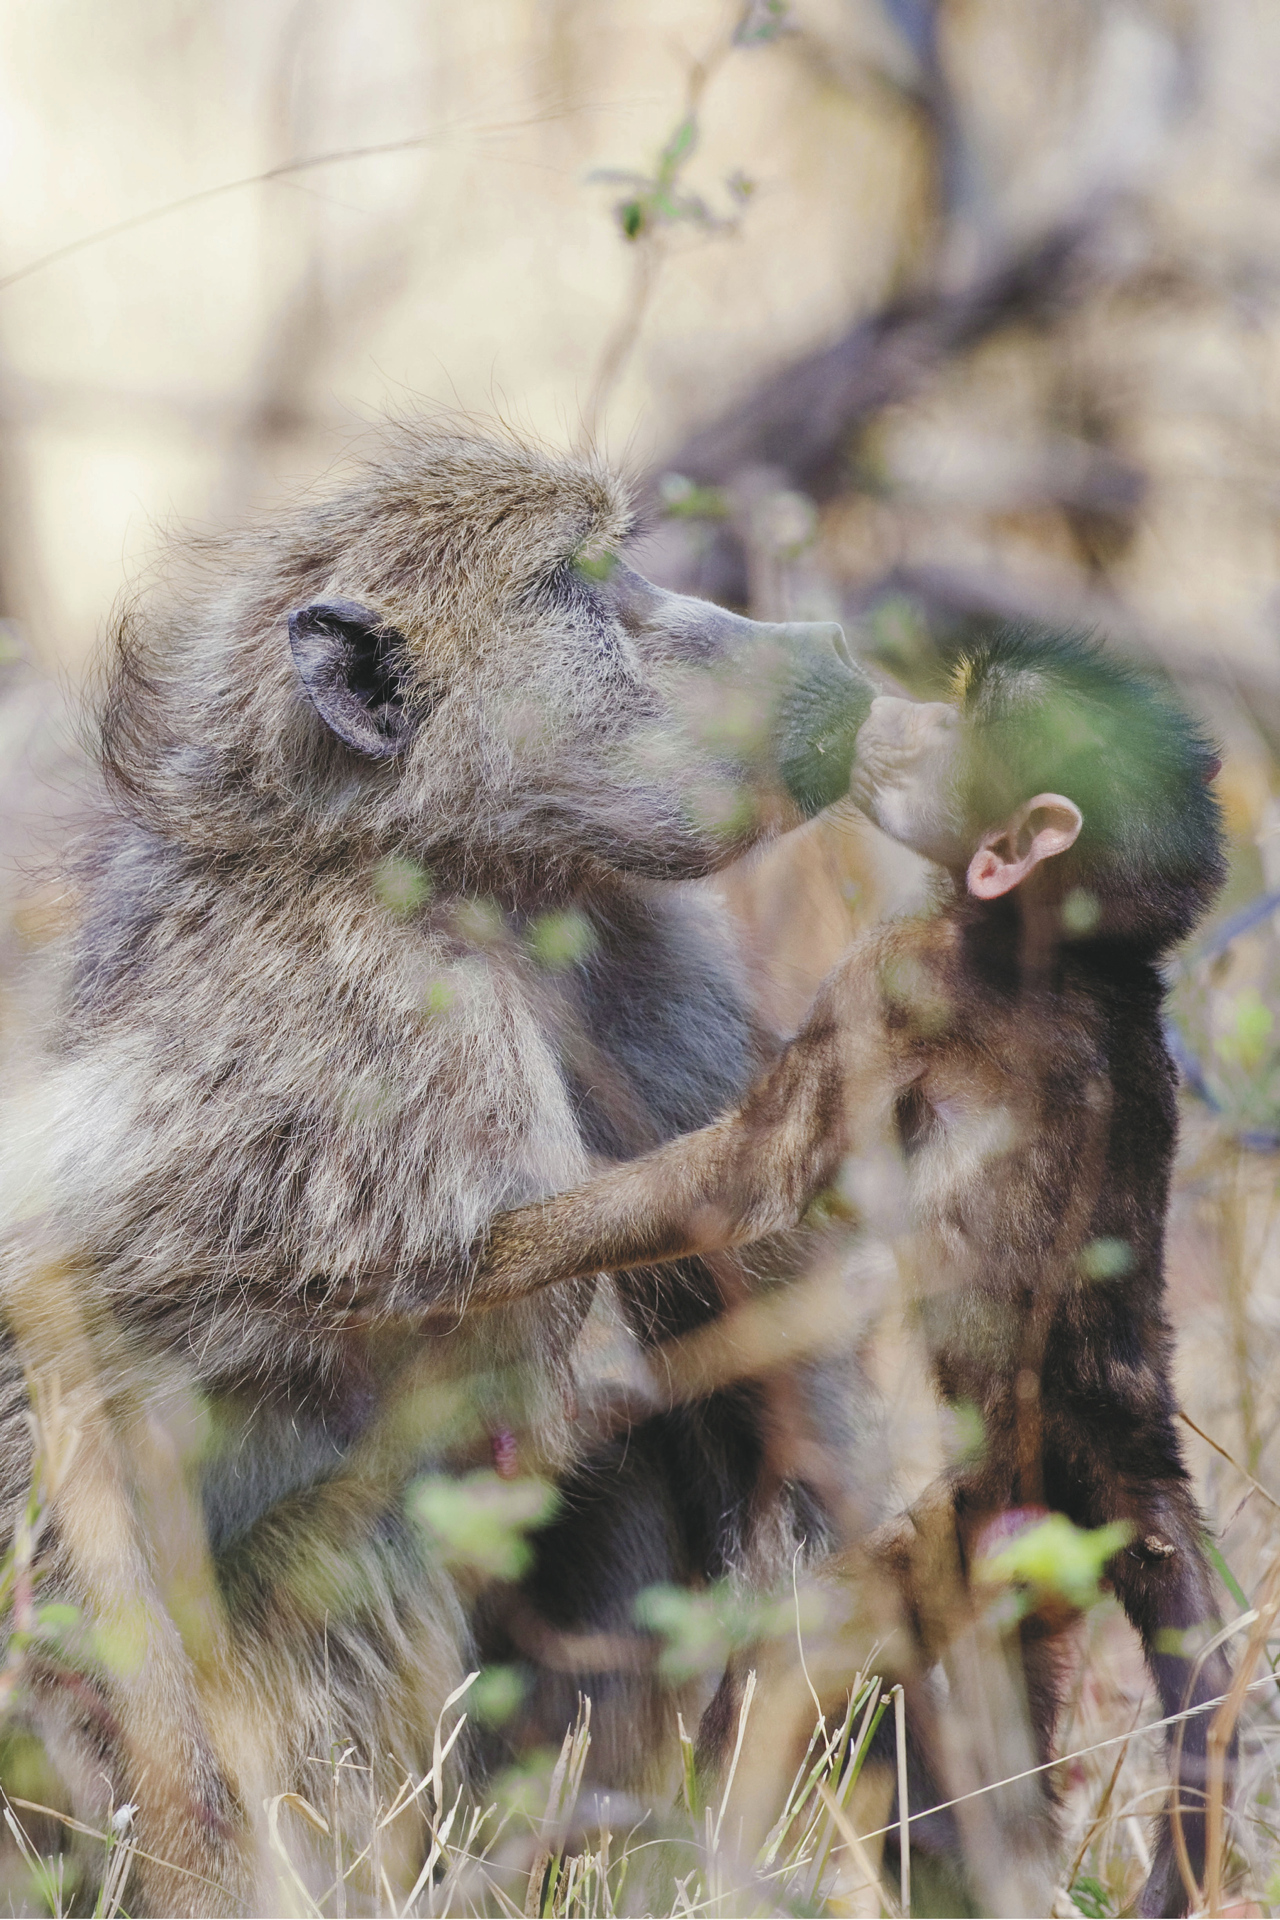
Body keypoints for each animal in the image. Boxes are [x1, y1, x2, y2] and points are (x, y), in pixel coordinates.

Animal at [0, 423, 880, 1915]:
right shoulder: (396, 1019)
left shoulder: (642, 951)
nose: (825, 651)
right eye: (586, 582)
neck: (447, 868)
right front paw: (738, 1171)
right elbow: (433, 1319)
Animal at [475, 626, 1233, 1917]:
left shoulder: (894, 974)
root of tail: (1122, 1450)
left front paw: (484, 1256)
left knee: (799, 1665)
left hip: (944, 1542)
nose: (896, 715)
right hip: (1009, 1571)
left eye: (954, 729)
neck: (1077, 961)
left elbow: (750, 1180)